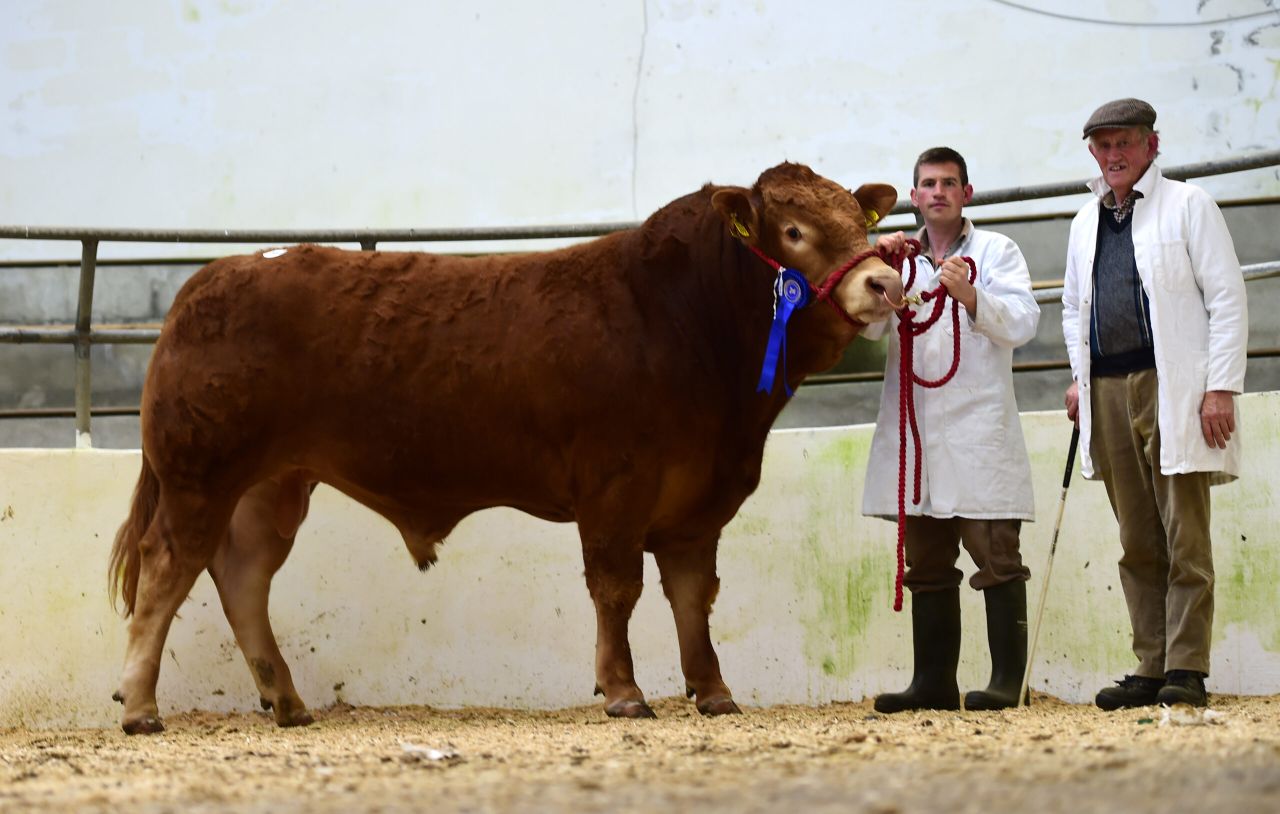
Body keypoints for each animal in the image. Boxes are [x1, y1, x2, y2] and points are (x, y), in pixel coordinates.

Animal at [108, 162, 903, 734]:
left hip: (270, 484)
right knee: (167, 569)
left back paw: (288, 703)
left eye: (859, 219)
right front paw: (623, 691)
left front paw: (713, 691)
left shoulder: (696, 500)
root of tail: (215, 278)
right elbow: (616, 589)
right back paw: (141, 707)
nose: (884, 279)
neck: (687, 321)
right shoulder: (615, 487)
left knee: (242, 577)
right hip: (199, 474)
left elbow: (692, 597)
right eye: (793, 230)